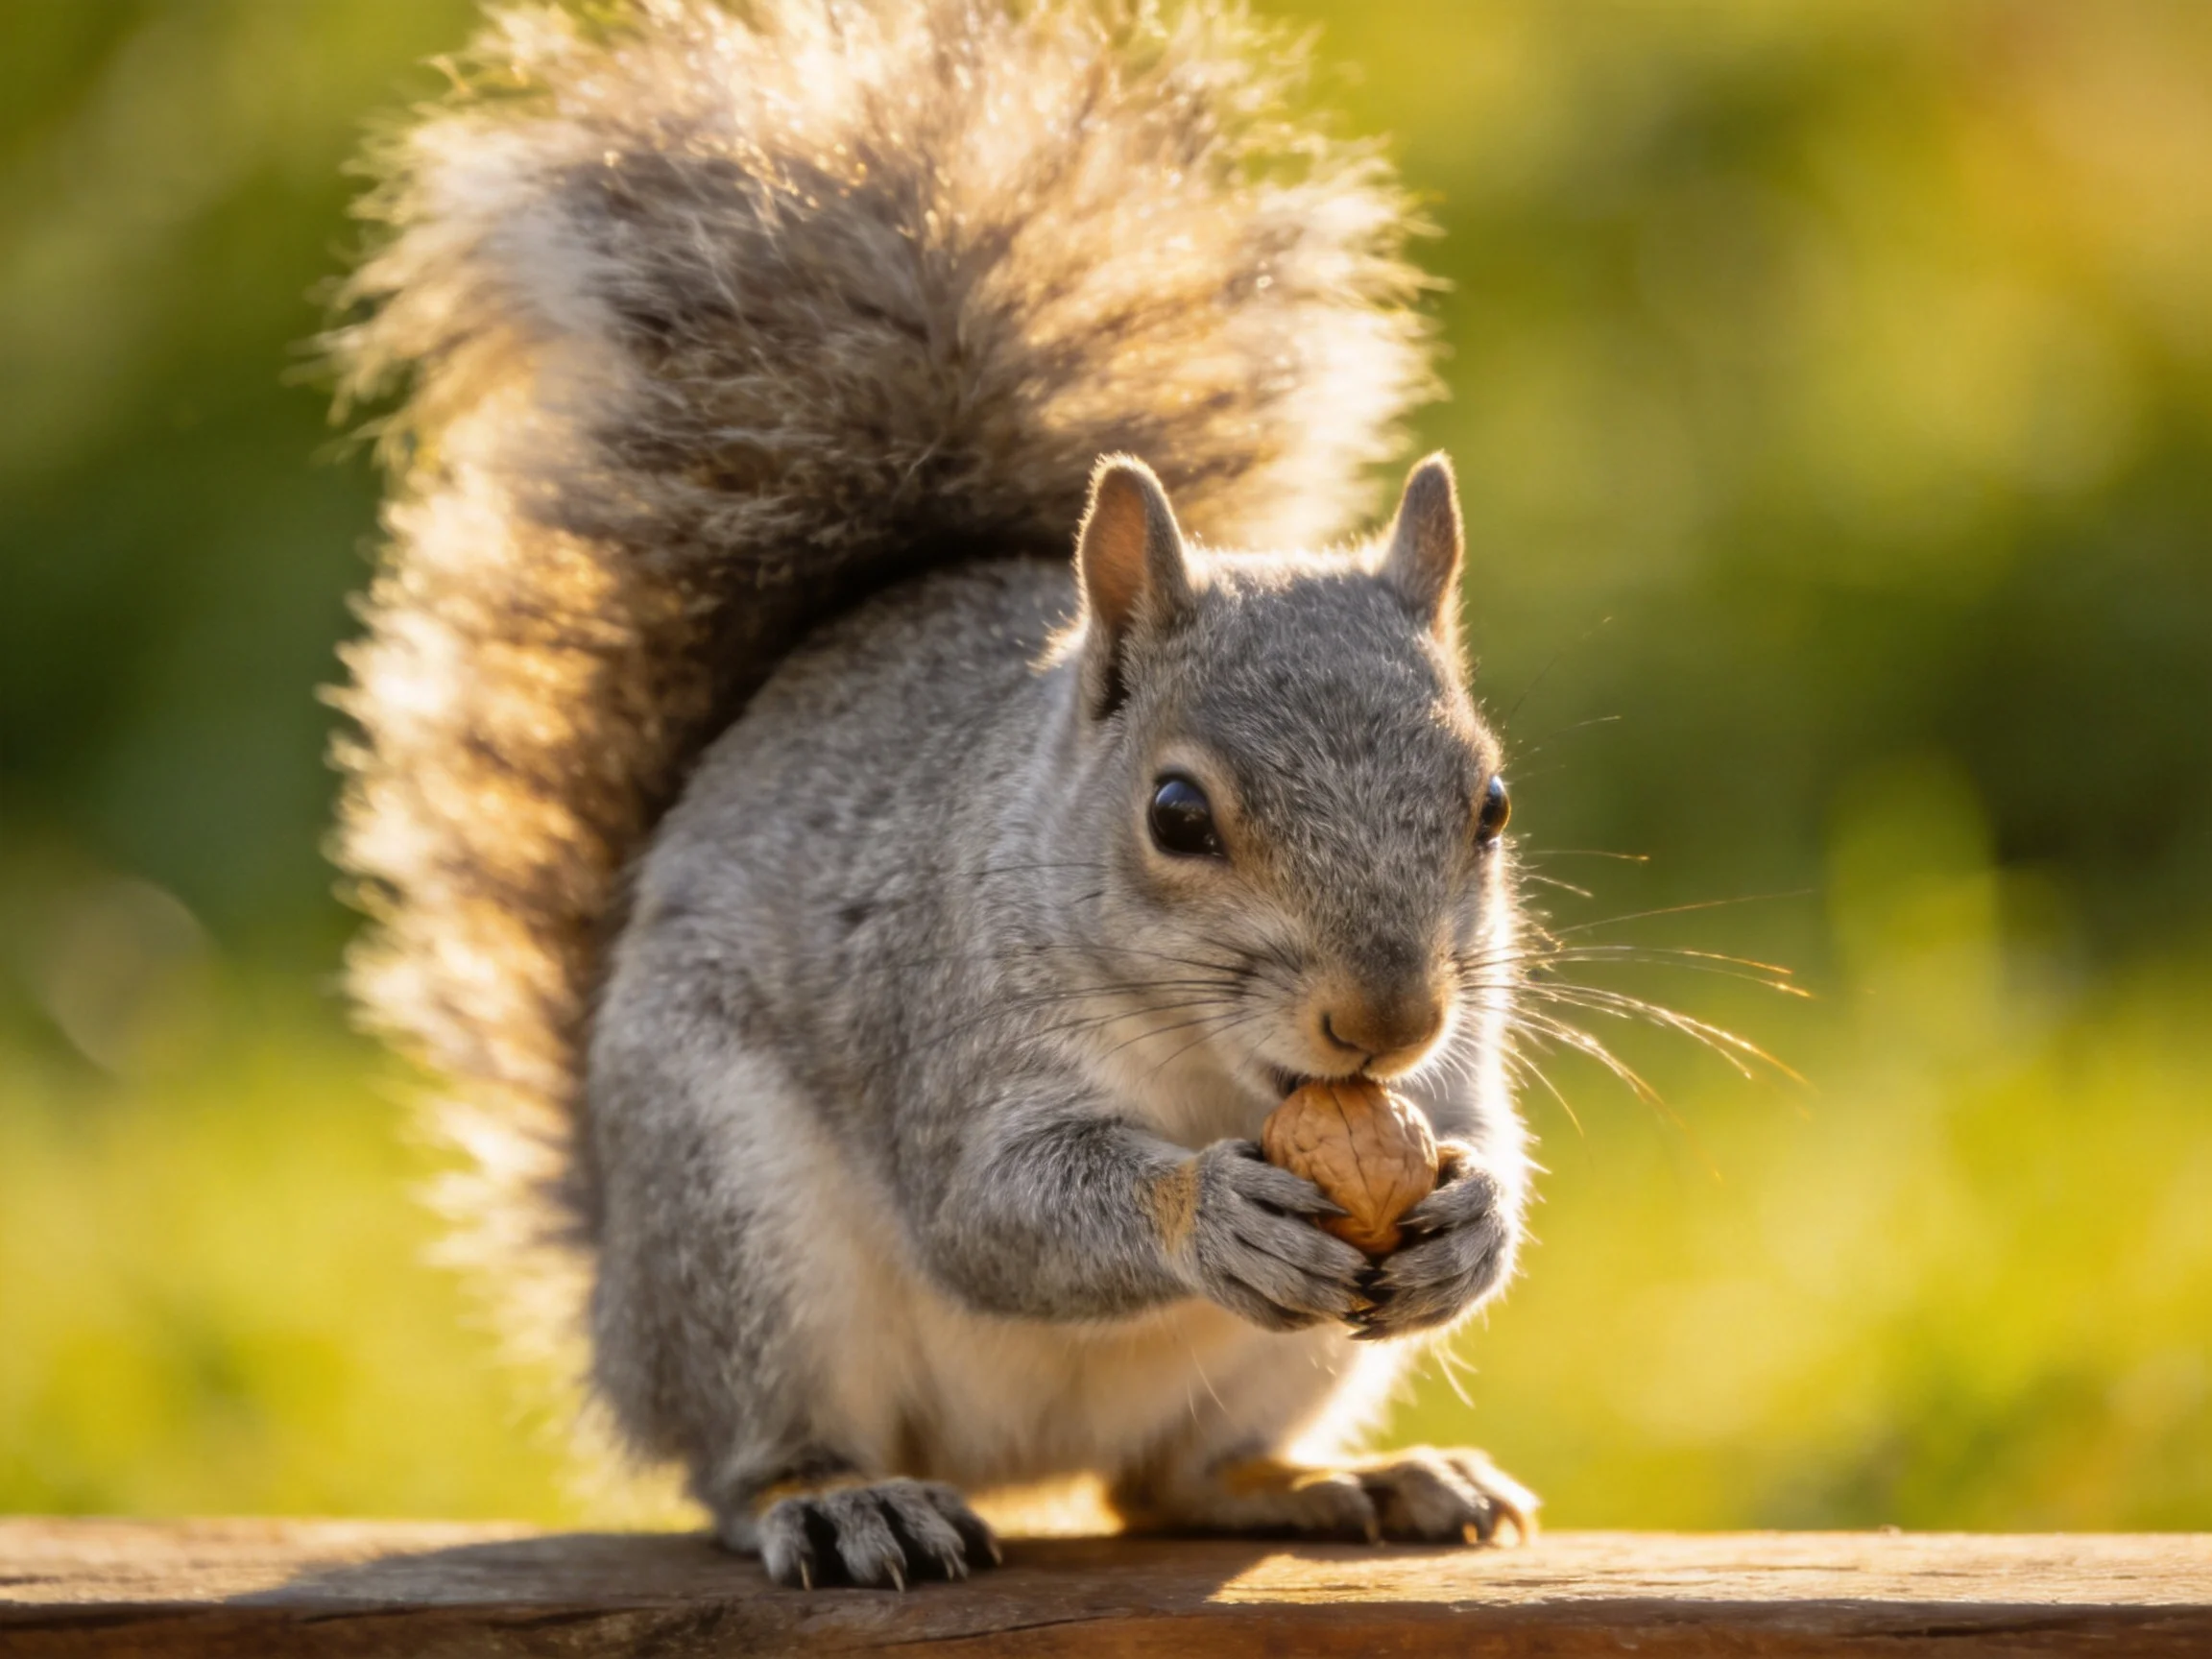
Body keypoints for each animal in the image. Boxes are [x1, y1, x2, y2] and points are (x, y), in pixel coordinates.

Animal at [327, 0, 1537, 1588]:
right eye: (1176, 816)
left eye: (1490, 806)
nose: (1382, 1019)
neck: (1215, 1070)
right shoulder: (945, 1018)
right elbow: (989, 1207)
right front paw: (1203, 1208)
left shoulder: (1454, 1059)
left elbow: (1483, 1134)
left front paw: (1473, 1221)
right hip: (737, 1229)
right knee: (748, 1460)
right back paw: (841, 1501)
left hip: (1283, 1362)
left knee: (1169, 1482)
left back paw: (1346, 1478)